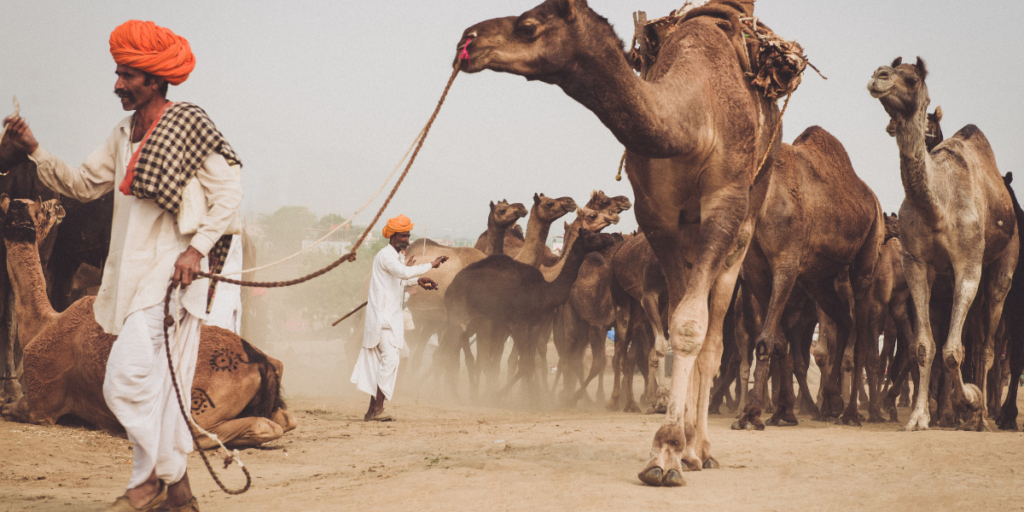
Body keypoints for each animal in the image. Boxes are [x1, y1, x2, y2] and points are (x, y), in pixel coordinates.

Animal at [3, 197, 299, 446]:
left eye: (40, 210)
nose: (16, 205)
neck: (44, 323)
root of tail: (263, 363)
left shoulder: (41, 404)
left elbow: (10, 408)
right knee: (284, 420)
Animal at [458, 0, 782, 483]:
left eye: (528, 25)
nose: (468, 40)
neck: (692, 119)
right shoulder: (655, 215)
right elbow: (674, 322)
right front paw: (670, 448)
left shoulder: (725, 201)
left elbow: (690, 327)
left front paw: (667, 452)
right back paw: (691, 445)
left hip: (748, 214)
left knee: (716, 334)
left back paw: (702, 448)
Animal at [868, 57, 1019, 432]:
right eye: (886, 69)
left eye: (911, 78)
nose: (878, 76)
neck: (938, 206)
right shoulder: (916, 262)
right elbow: (926, 346)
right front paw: (919, 417)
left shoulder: (968, 264)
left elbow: (954, 350)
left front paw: (970, 401)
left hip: (1002, 267)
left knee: (987, 345)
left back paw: (983, 417)